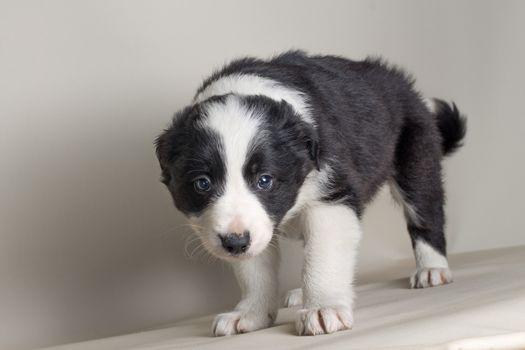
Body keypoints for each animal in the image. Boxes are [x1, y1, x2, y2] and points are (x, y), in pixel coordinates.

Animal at [154, 51, 464, 336]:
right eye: (202, 184)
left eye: (264, 180)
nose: (234, 242)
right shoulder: (254, 226)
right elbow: (254, 268)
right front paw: (252, 314)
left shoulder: (332, 198)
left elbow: (323, 255)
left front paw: (324, 308)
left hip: (415, 154)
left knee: (425, 209)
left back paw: (432, 269)